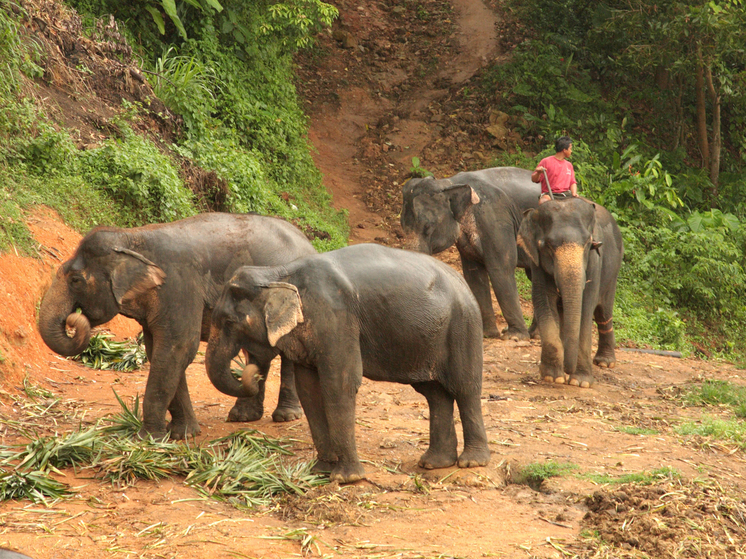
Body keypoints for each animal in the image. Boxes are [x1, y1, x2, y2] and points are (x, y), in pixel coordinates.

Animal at [37, 212, 316, 440]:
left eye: (76, 280)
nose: (74, 319)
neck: (133, 237)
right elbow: (159, 352)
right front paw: (184, 434)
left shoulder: (179, 287)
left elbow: (177, 348)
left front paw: (148, 439)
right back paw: (243, 415)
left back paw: (286, 416)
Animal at [206, 245, 492, 486]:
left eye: (229, 322)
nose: (252, 373)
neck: (278, 273)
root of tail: (462, 282)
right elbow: (309, 390)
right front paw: (320, 471)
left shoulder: (337, 319)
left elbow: (338, 385)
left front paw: (346, 478)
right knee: (434, 393)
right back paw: (434, 463)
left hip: (463, 326)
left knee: (465, 388)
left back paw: (472, 462)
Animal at [398, 166, 536, 342]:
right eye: (402, 226)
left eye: (428, 227)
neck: (449, 182)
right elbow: (474, 275)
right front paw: (487, 334)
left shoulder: (495, 219)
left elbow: (501, 268)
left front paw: (515, 337)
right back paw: (534, 333)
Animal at [512, 199, 620, 388]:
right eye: (548, 246)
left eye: (588, 244)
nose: (568, 369)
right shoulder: (537, 265)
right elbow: (544, 303)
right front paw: (553, 377)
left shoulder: (594, 264)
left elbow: (585, 309)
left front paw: (580, 382)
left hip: (613, 272)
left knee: (603, 312)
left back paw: (604, 362)